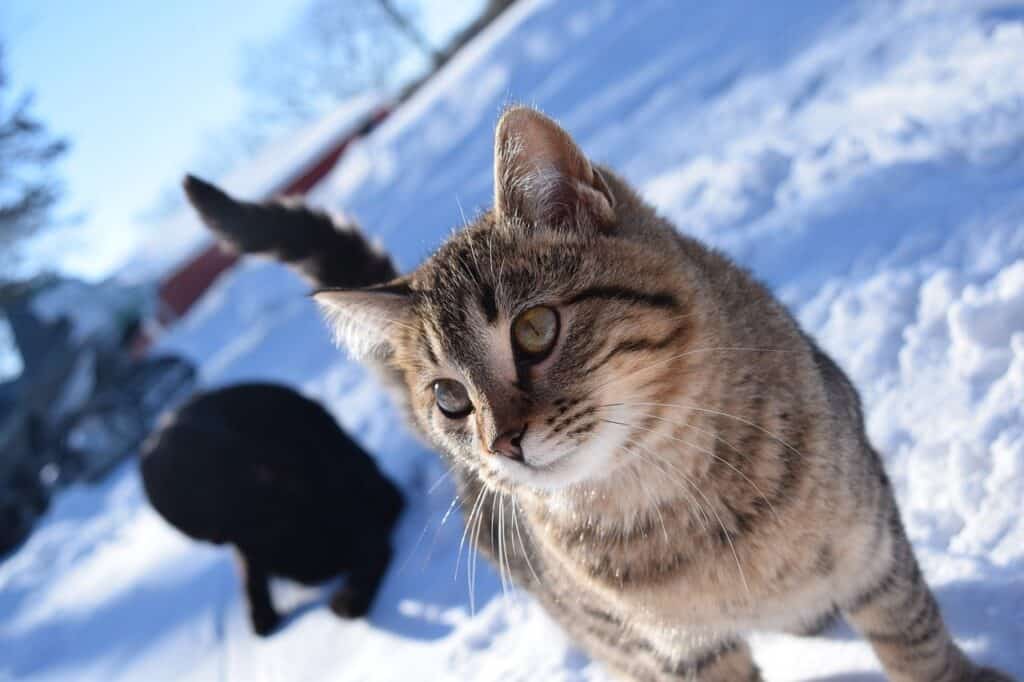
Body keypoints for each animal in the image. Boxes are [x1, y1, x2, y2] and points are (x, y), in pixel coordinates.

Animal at [184, 107, 1007, 679]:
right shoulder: (678, 650)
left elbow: (915, 640)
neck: (681, 498)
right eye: (449, 399)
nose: (502, 442)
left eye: (535, 329)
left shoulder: (873, 545)